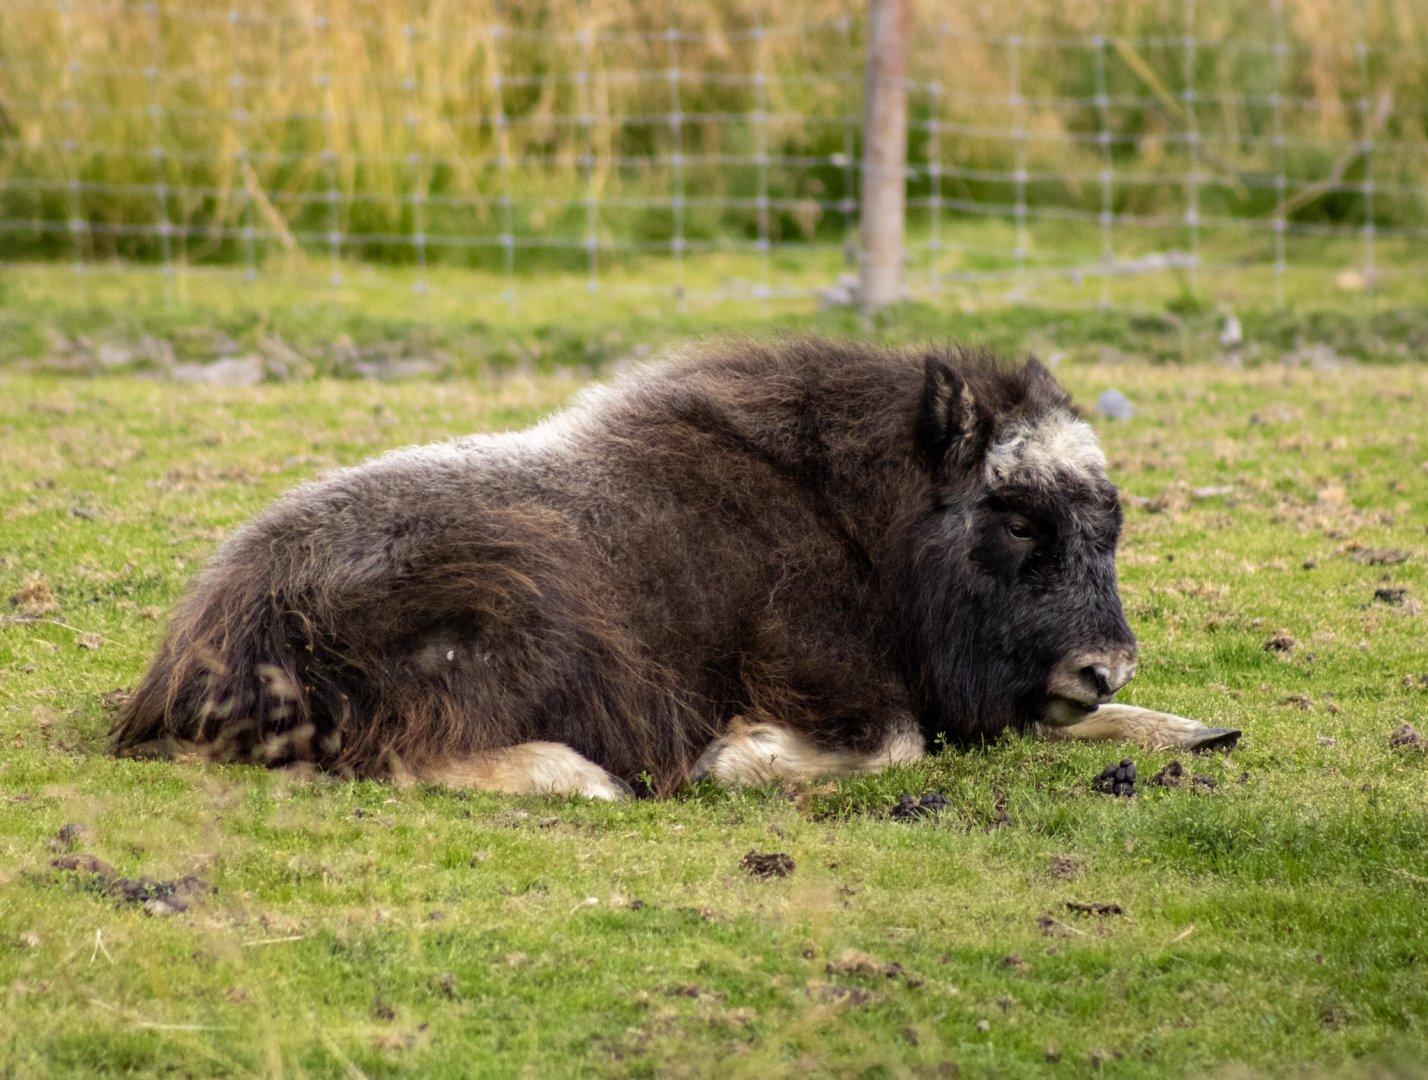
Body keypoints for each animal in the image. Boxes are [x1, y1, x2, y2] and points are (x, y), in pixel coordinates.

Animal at [111, 340, 1239, 798]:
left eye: (1109, 521)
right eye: (1014, 521)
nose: (1106, 665)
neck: (859, 521)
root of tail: (198, 647)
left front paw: (1194, 727)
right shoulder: (826, 674)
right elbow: (897, 746)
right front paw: (731, 760)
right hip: (509, 613)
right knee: (396, 751)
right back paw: (582, 778)